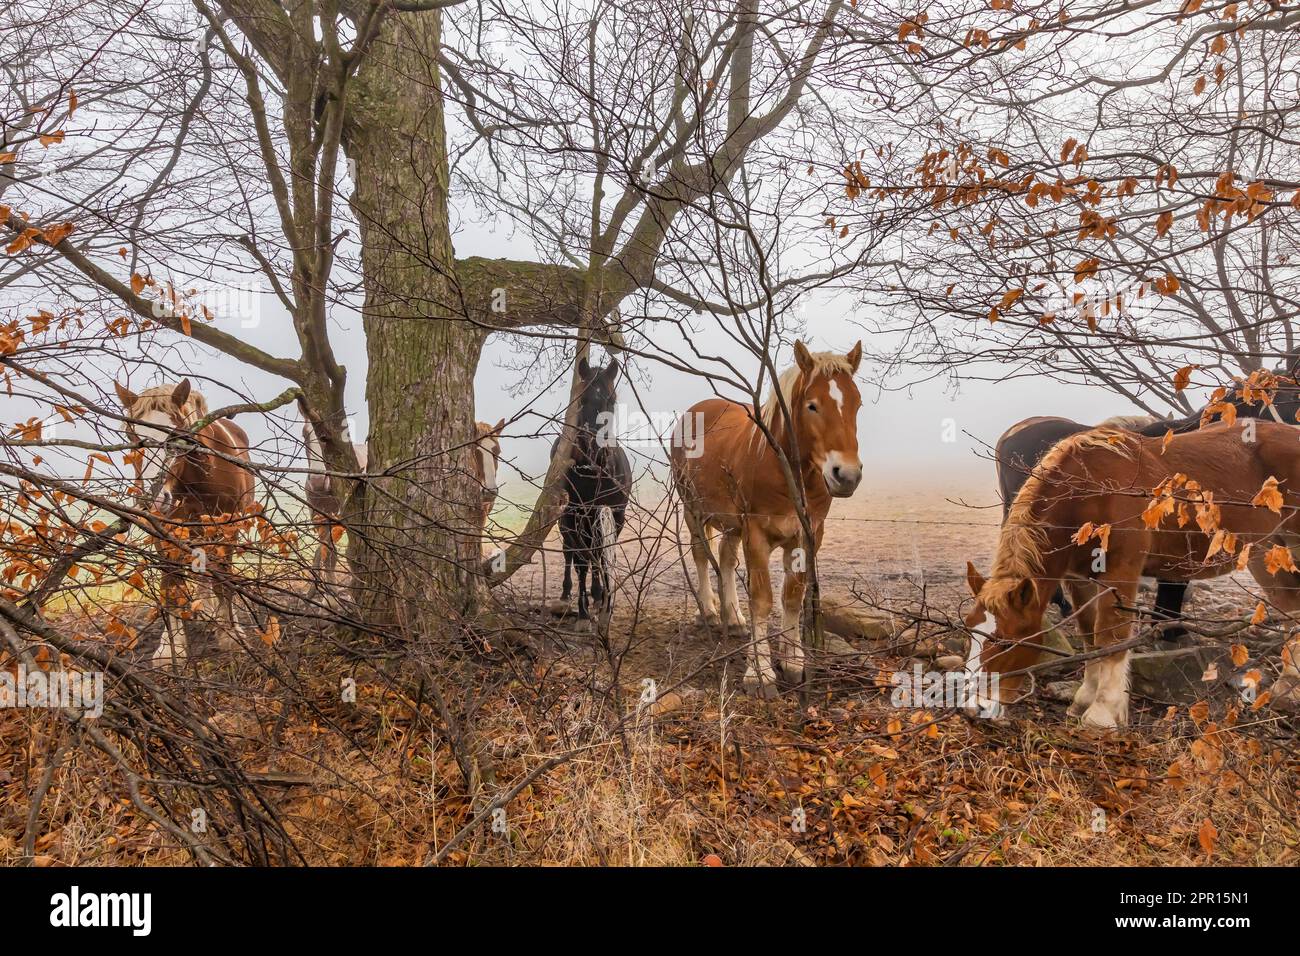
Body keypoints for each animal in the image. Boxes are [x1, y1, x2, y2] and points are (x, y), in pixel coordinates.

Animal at [115, 382, 254, 665]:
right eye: (132, 436)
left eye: (177, 436)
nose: (155, 500)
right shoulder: (164, 533)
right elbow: (172, 586)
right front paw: (171, 649)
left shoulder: (226, 530)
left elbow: (224, 582)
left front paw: (231, 637)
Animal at [551, 353, 631, 621]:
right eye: (582, 398)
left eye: (611, 399)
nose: (594, 445)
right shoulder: (572, 514)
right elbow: (581, 559)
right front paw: (583, 611)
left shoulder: (616, 514)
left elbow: (602, 555)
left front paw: (604, 599)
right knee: (570, 552)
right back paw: (567, 593)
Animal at [670, 340, 863, 697]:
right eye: (812, 406)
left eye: (857, 404)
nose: (846, 475)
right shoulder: (757, 532)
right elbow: (762, 600)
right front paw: (759, 673)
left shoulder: (808, 534)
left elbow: (792, 597)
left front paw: (793, 662)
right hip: (693, 509)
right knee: (702, 554)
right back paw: (710, 612)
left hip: (733, 524)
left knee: (725, 559)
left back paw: (734, 617)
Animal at [967, 421, 1300, 728]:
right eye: (971, 632)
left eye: (1007, 642)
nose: (976, 707)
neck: (1091, 491)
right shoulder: (1079, 579)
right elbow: (1089, 635)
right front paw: (1084, 700)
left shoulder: (1121, 570)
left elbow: (1111, 635)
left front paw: (1102, 714)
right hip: (1264, 551)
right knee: (1288, 606)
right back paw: (1286, 688)